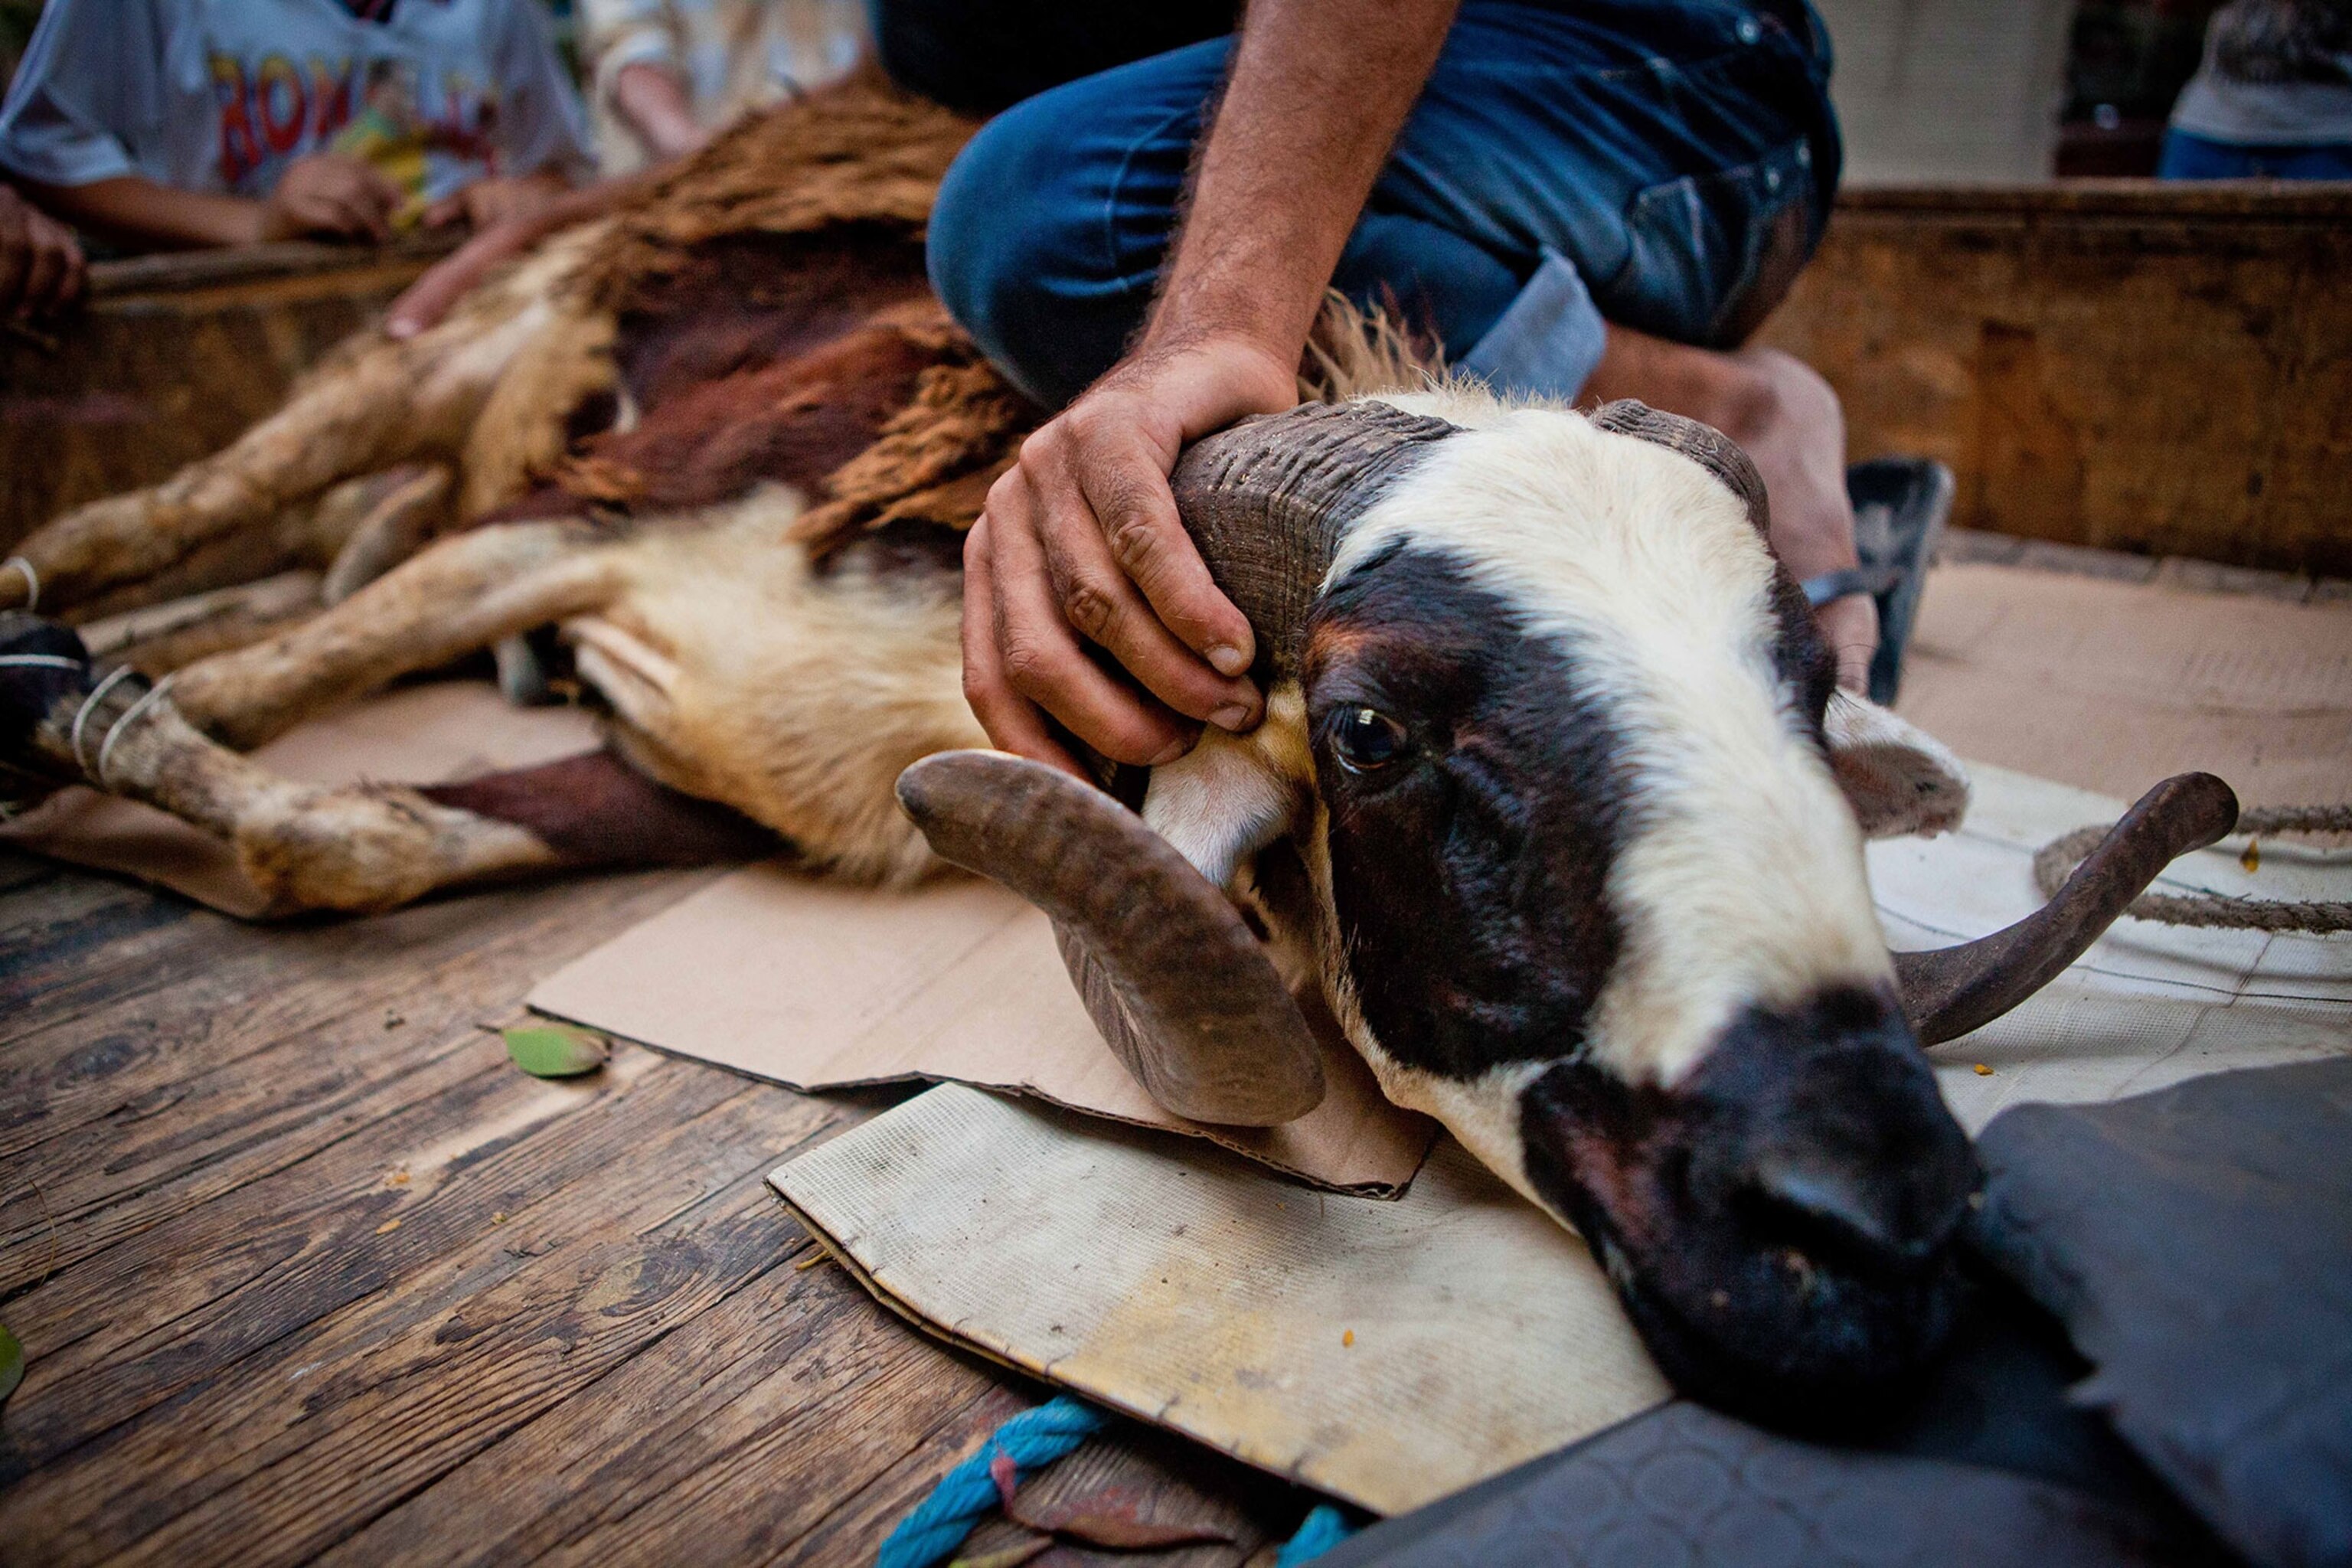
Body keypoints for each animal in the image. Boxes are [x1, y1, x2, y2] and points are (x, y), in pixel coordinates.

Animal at [0, 82, 2241, 1419]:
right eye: (1371, 731)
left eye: (1798, 689)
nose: (1879, 1233)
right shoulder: (614, 500)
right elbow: (310, 681)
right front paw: (89, 719)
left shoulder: (689, 761)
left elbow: (362, 832)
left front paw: (123, 723)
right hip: (490, 343)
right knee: (227, 502)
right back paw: (60, 607)